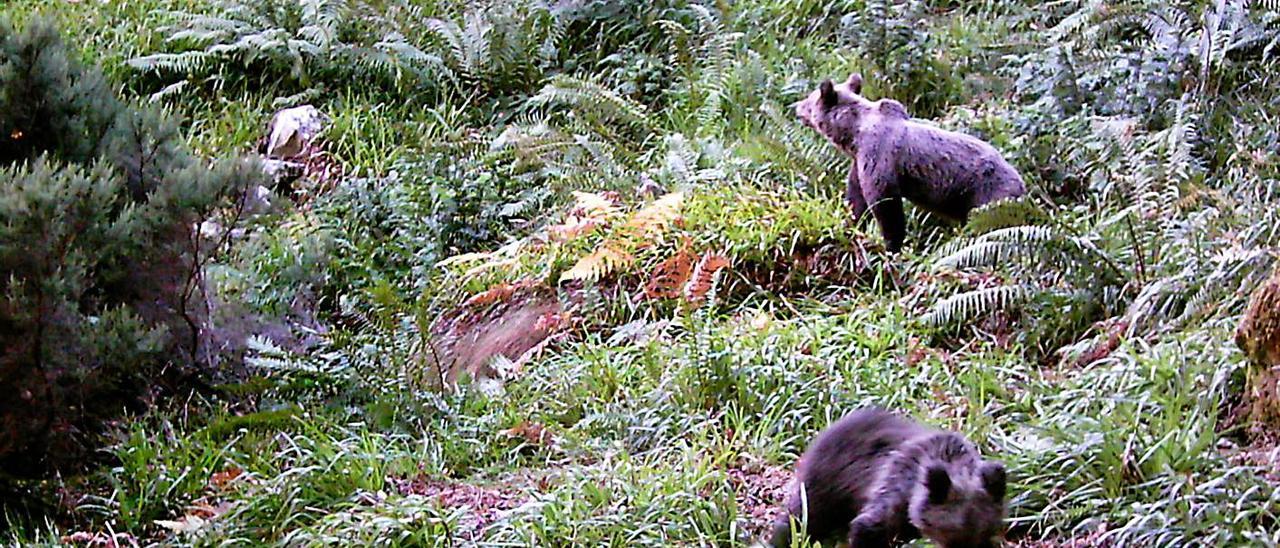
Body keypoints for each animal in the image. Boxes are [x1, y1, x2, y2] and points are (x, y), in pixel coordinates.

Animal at [788, 73, 1029, 252]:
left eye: (810, 98)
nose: (796, 106)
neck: (855, 134)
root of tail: (1022, 184)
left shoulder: (879, 154)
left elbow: (884, 202)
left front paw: (891, 246)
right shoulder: (859, 162)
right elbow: (857, 198)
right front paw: (852, 223)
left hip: (987, 195)